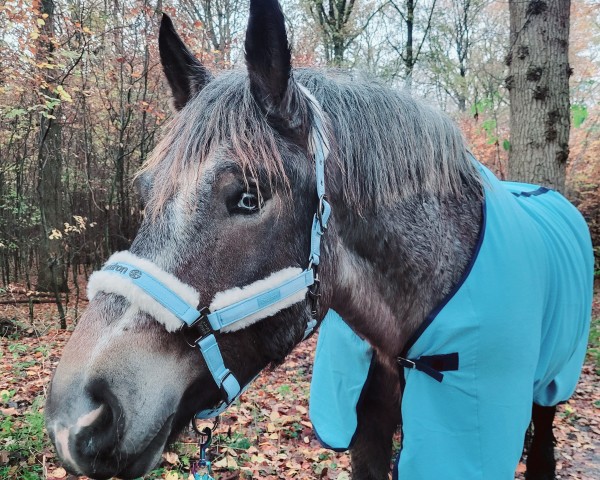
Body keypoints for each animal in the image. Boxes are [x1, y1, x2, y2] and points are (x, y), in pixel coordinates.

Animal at [45, 0, 592, 480]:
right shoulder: (366, 436)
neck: (401, 339)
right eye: (145, 190)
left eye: (249, 196)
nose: (76, 417)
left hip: (553, 385)